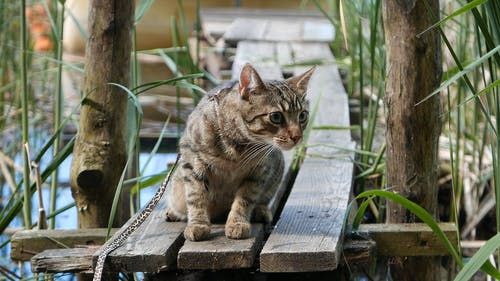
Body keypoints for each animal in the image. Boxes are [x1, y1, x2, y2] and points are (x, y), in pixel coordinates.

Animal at [168, 63, 316, 241]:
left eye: (302, 116)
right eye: (276, 117)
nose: (297, 136)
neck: (238, 148)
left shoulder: (259, 172)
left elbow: (245, 199)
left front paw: (237, 222)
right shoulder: (191, 158)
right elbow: (196, 195)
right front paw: (198, 224)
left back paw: (260, 210)